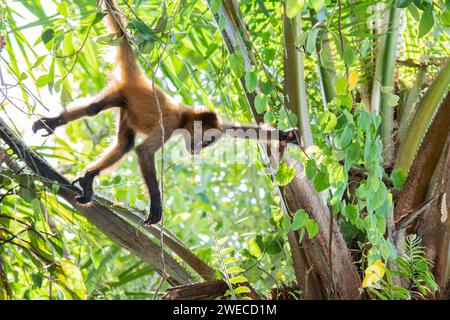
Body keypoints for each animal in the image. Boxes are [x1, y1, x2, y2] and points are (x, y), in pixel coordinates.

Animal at [32, 0, 223, 225]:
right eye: (206, 140)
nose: (200, 149)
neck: (183, 115)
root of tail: (140, 77)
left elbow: (132, 147)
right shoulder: (168, 124)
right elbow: (144, 151)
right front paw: (156, 205)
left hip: (125, 106)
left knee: (124, 143)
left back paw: (88, 178)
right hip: (121, 91)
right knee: (95, 111)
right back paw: (55, 124)